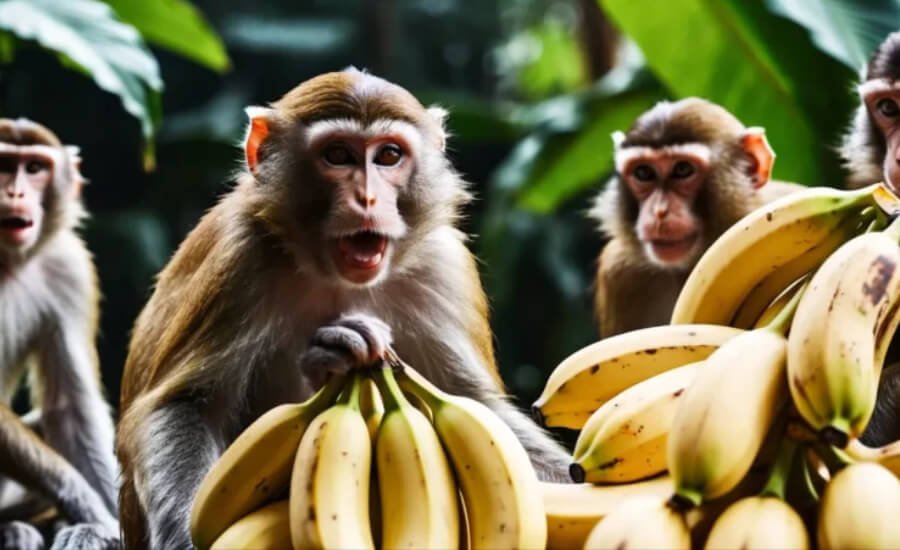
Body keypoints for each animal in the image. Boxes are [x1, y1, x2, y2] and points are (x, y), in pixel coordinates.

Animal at [0, 118, 120, 549]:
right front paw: (84, 501)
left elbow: (70, 407)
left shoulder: (69, 266)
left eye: (35, 168)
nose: (15, 192)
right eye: (3, 165)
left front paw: (103, 519)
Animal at [116, 68, 571, 549]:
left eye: (389, 155)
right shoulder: (240, 258)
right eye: (337, 155)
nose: (368, 198)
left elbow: (479, 404)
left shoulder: (442, 264)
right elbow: (186, 404)